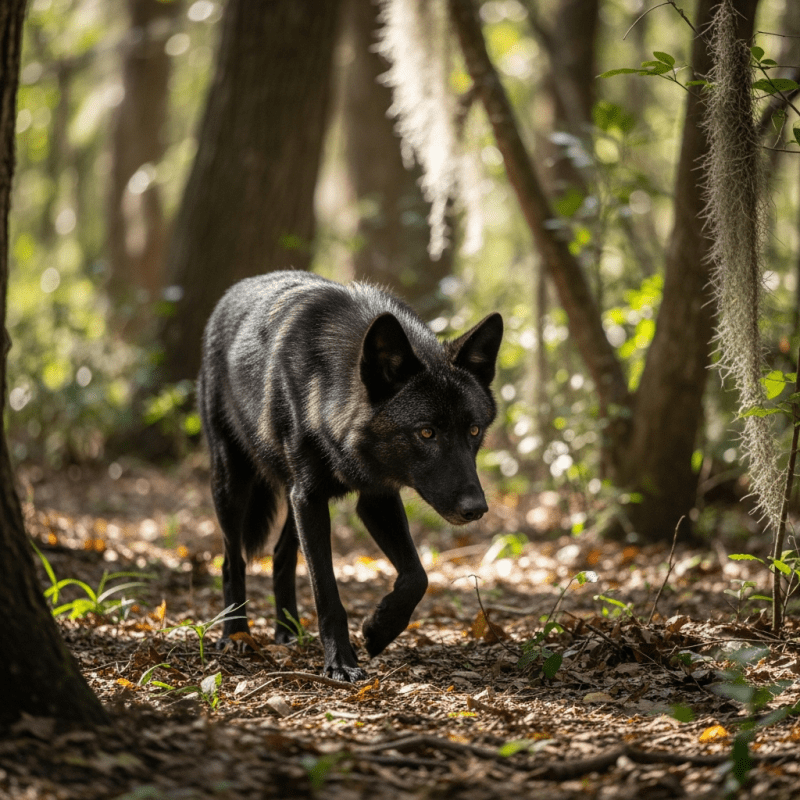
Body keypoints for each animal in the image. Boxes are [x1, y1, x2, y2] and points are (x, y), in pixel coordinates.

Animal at [198, 270, 503, 682]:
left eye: (473, 430)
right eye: (426, 433)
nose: (476, 508)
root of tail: (233, 291)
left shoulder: (374, 497)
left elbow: (417, 576)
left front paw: (378, 630)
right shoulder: (310, 497)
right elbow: (327, 592)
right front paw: (340, 661)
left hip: (294, 499)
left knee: (280, 555)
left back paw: (287, 632)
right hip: (234, 484)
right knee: (233, 562)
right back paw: (236, 635)